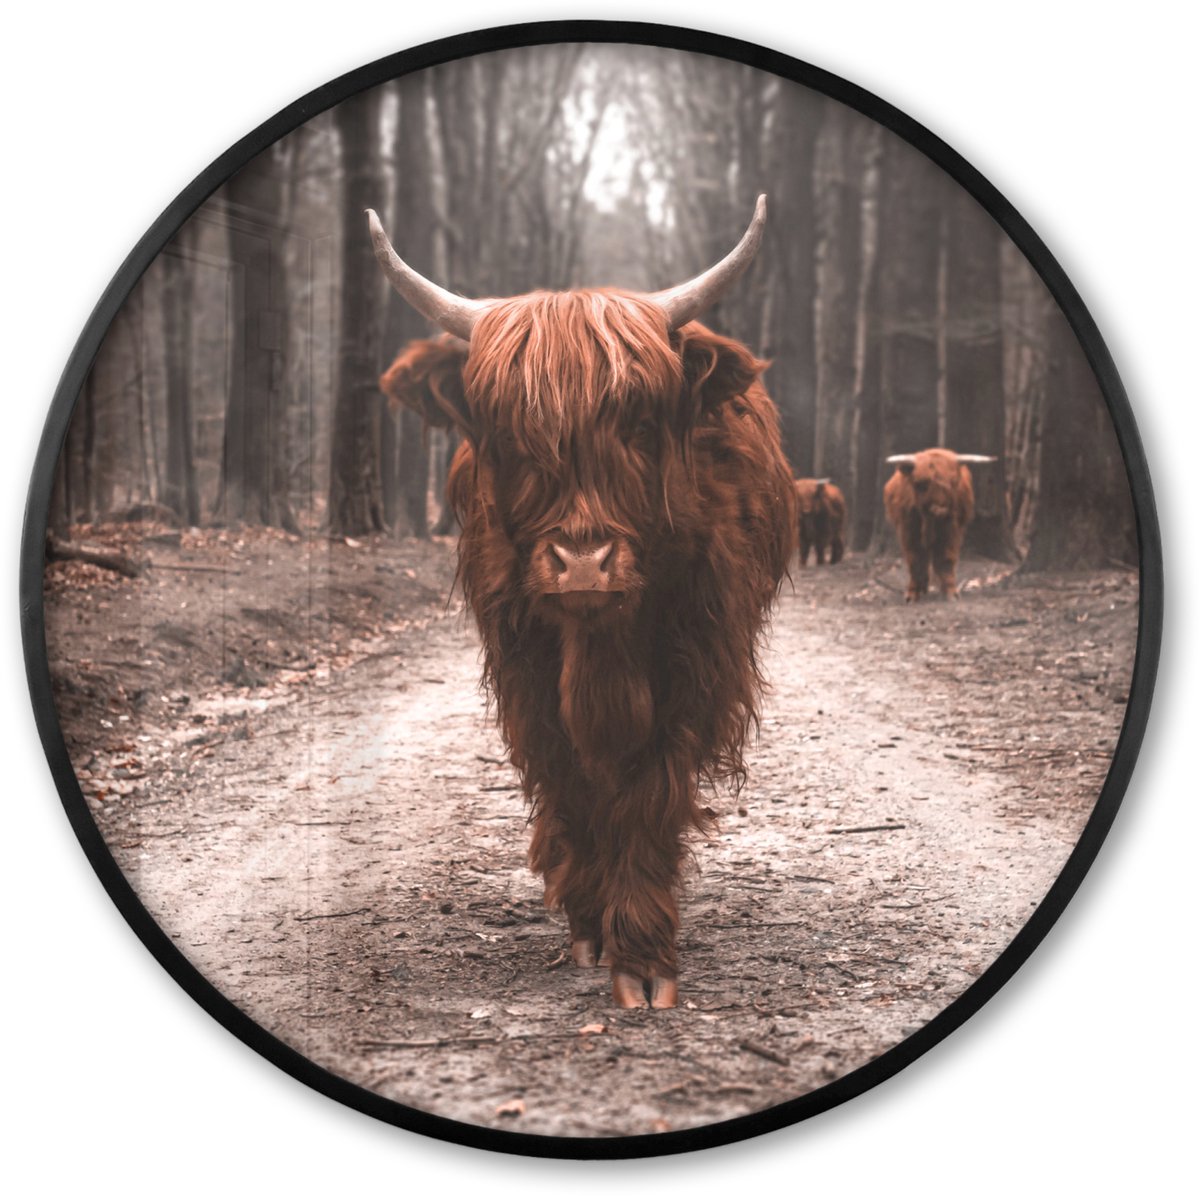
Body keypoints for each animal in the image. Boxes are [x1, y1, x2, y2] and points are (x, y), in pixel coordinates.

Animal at [367, 197, 795, 1008]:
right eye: (509, 436)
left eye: (639, 424)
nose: (584, 565)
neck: (600, 650)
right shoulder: (525, 671)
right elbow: (570, 782)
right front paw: (594, 926)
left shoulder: (694, 664)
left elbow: (649, 790)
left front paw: (644, 957)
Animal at [883, 448, 996, 601]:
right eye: (920, 484)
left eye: (953, 482)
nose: (940, 509)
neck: (929, 521)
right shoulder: (908, 530)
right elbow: (915, 559)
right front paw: (912, 594)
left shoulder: (951, 530)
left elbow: (946, 559)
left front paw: (950, 593)